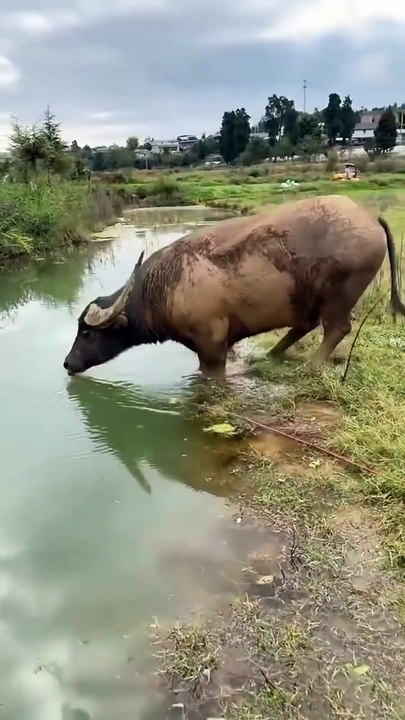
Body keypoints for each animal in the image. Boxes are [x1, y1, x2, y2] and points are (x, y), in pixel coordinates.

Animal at [64, 194, 405, 378]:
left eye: (87, 333)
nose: (67, 363)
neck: (161, 289)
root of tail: (369, 217)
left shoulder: (212, 345)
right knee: (306, 324)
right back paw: (272, 354)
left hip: (339, 293)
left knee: (337, 328)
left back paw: (309, 366)